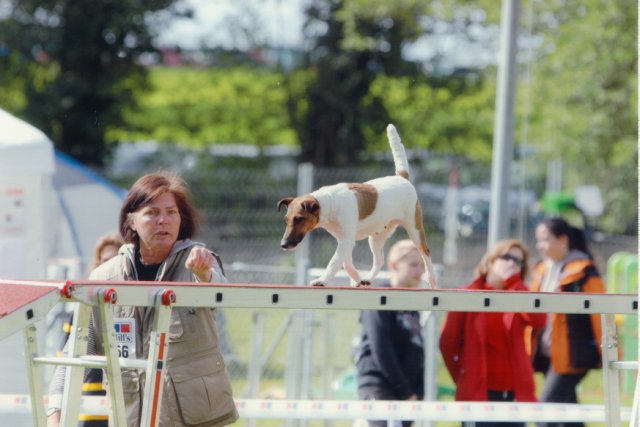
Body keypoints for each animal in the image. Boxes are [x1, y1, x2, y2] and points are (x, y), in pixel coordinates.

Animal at [278, 123, 438, 288]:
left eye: (299, 219)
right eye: (286, 220)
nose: (283, 244)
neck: (330, 202)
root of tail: (402, 178)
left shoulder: (346, 241)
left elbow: (334, 262)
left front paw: (322, 280)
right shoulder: (344, 240)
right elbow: (346, 263)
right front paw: (356, 278)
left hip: (415, 230)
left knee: (426, 252)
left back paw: (432, 280)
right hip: (376, 237)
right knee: (379, 260)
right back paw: (367, 279)